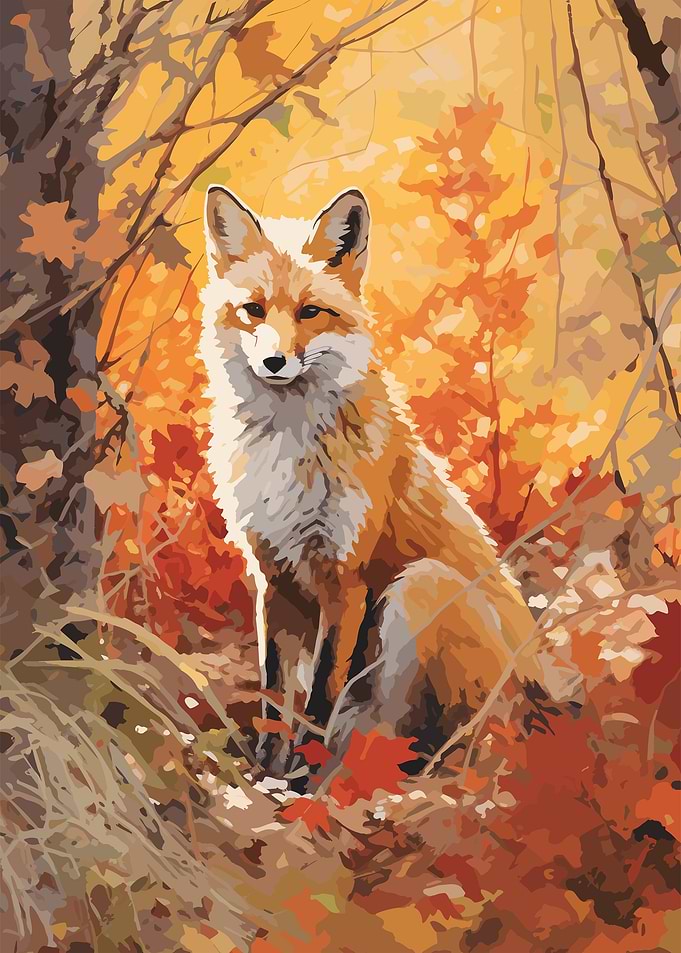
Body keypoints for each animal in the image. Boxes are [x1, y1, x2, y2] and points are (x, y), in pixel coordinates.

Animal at [199, 185, 538, 773]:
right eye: (253, 310)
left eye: (310, 311)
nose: (274, 361)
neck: (287, 447)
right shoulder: (272, 575)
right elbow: (273, 696)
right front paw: (264, 772)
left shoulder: (344, 578)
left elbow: (317, 701)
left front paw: (297, 781)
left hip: (420, 587)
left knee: (425, 748)